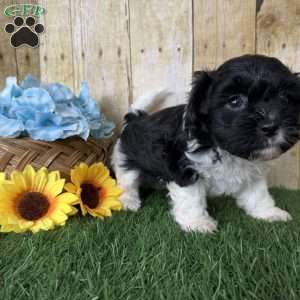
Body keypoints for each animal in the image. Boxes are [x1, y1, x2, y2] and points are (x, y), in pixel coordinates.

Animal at [111, 55, 300, 233]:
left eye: (284, 97)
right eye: (235, 101)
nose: (270, 126)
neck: (225, 149)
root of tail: (136, 117)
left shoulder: (252, 172)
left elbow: (258, 194)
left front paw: (269, 212)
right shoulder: (182, 166)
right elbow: (191, 197)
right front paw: (197, 223)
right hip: (125, 157)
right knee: (127, 181)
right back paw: (128, 201)